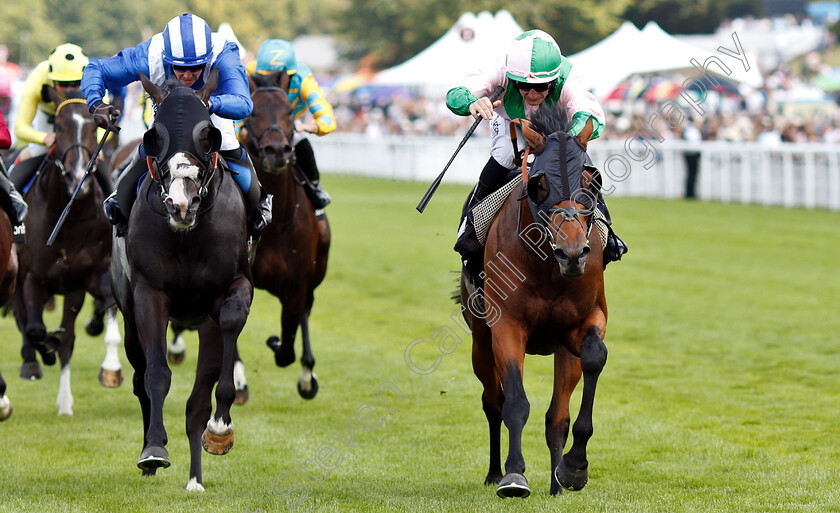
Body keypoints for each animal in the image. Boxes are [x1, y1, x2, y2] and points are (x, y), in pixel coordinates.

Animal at [12, 88, 123, 416]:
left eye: (91, 126)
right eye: (58, 128)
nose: (77, 177)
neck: (70, 217)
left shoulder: (90, 275)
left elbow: (105, 309)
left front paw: (111, 368)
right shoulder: (33, 277)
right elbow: (35, 329)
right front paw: (46, 349)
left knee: (69, 338)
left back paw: (64, 401)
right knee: (25, 322)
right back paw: (34, 362)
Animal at [113, 70, 254, 490]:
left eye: (208, 133)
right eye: (153, 136)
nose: (180, 203)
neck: (187, 235)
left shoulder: (234, 287)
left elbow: (230, 321)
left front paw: (221, 428)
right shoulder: (149, 294)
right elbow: (156, 373)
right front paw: (154, 449)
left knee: (197, 402)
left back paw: (196, 476)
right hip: (128, 315)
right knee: (140, 375)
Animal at [241, 72, 330, 398]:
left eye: (290, 112)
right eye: (253, 112)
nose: (277, 151)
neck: (275, 222)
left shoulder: (297, 284)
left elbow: (287, 349)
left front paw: (276, 342)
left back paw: (307, 374)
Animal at [460, 107, 612, 496]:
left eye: (591, 181)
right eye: (540, 185)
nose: (572, 253)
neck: (547, 266)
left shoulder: (585, 322)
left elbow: (594, 357)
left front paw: (574, 468)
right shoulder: (507, 326)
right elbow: (514, 401)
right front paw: (514, 475)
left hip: (561, 349)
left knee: (556, 415)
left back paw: (558, 481)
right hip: (480, 339)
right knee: (492, 402)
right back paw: (494, 472)